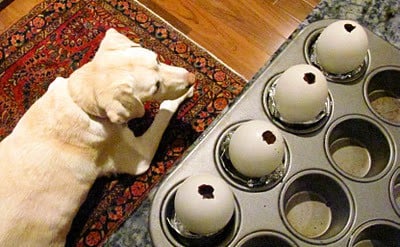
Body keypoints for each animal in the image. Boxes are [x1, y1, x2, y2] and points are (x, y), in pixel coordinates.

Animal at [0, 28, 195, 245]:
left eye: (158, 59)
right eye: (157, 87)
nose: (192, 77)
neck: (80, 103)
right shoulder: (140, 155)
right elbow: (164, 113)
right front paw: (178, 98)